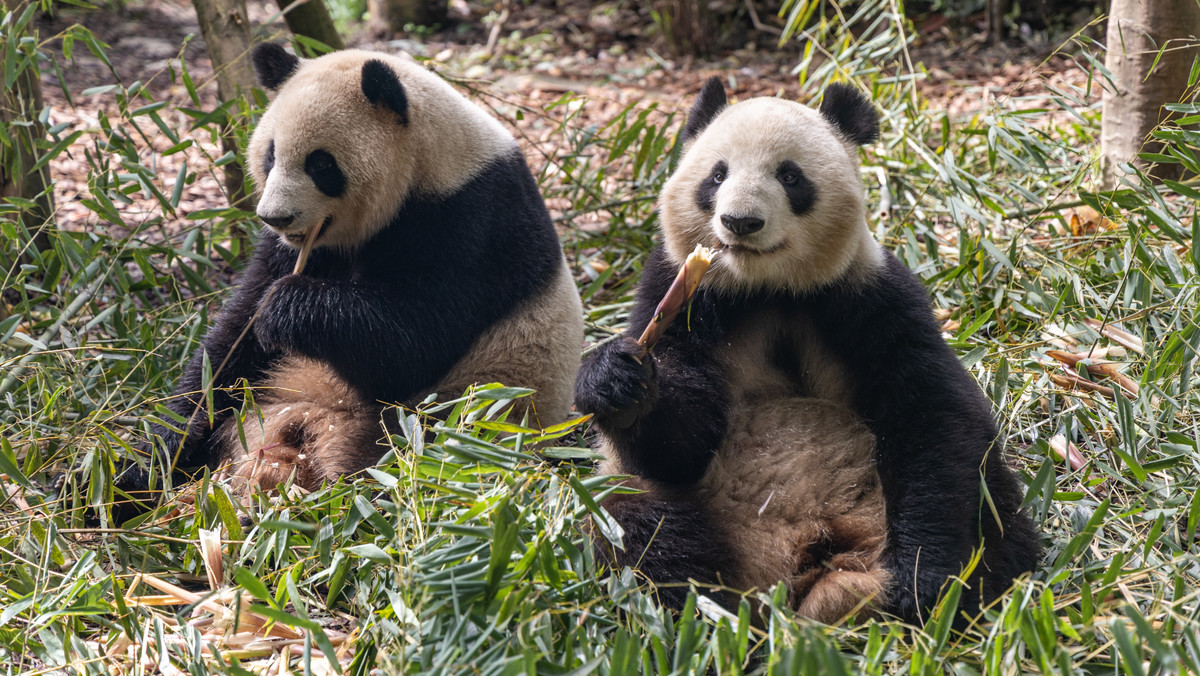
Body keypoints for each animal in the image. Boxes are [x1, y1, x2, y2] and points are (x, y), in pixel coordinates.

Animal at [121, 43, 585, 497]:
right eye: (270, 155)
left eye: (321, 165)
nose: (275, 217)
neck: (428, 160)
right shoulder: (296, 250)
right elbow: (229, 349)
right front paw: (151, 454)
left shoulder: (471, 222)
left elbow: (413, 342)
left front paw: (284, 307)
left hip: (462, 417)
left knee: (418, 460)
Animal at [573, 78, 1041, 624]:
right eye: (717, 175)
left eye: (790, 176)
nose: (740, 222)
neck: (768, 288)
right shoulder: (679, 295)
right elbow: (681, 444)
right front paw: (615, 378)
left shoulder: (868, 296)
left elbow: (931, 416)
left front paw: (920, 581)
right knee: (642, 527)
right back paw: (712, 611)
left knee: (993, 513)